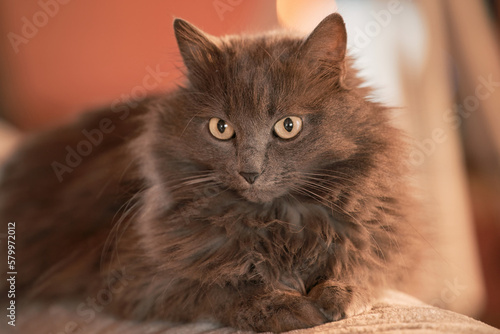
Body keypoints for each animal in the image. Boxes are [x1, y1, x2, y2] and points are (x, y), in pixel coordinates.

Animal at [0, 13, 420, 334]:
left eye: (288, 126)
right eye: (221, 128)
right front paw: (285, 307)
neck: (275, 222)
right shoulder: (136, 281)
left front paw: (339, 293)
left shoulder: (377, 241)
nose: (250, 172)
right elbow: (224, 288)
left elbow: (363, 269)